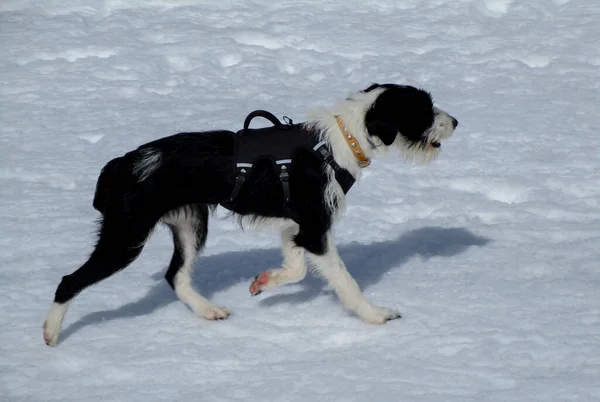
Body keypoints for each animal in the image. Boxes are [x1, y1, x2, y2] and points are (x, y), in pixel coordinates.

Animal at [42, 82, 458, 346]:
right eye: (424, 109)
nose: (455, 122)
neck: (340, 140)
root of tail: (125, 163)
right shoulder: (315, 228)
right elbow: (346, 282)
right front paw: (376, 315)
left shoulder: (295, 226)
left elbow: (295, 268)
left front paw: (264, 282)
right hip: (126, 236)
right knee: (69, 281)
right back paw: (51, 333)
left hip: (191, 224)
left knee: (176, 275)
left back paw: (208, 310)